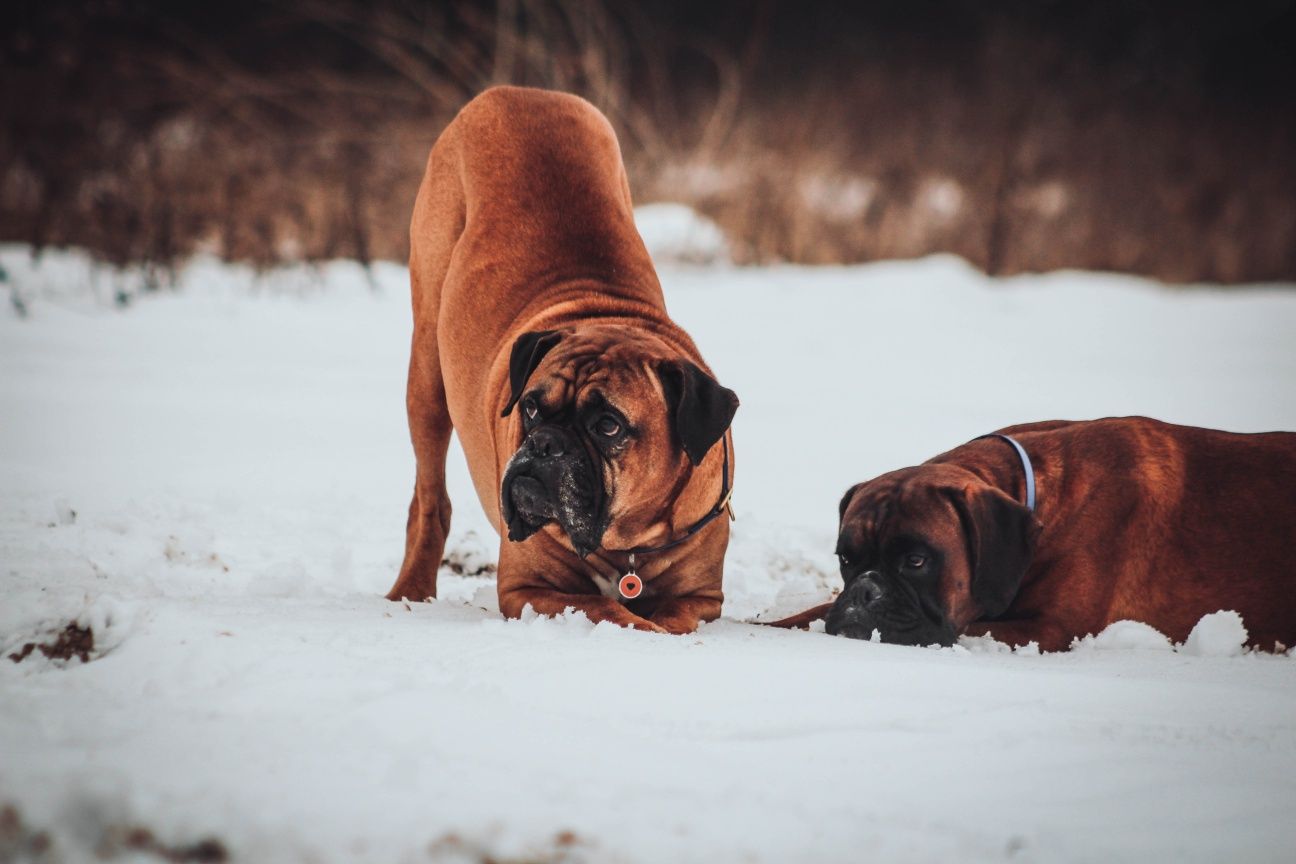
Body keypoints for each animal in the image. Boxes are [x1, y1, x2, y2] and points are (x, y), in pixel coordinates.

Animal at [383, 86, 741, 634]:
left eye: (608, 425)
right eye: (530, 408)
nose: (545, 444)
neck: (627, 547)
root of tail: (515, 92)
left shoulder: (700, 597)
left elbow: (672, 616)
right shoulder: (529, 590)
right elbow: (609, 610)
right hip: (427, 376)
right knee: (429, 501)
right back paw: (410, 592)